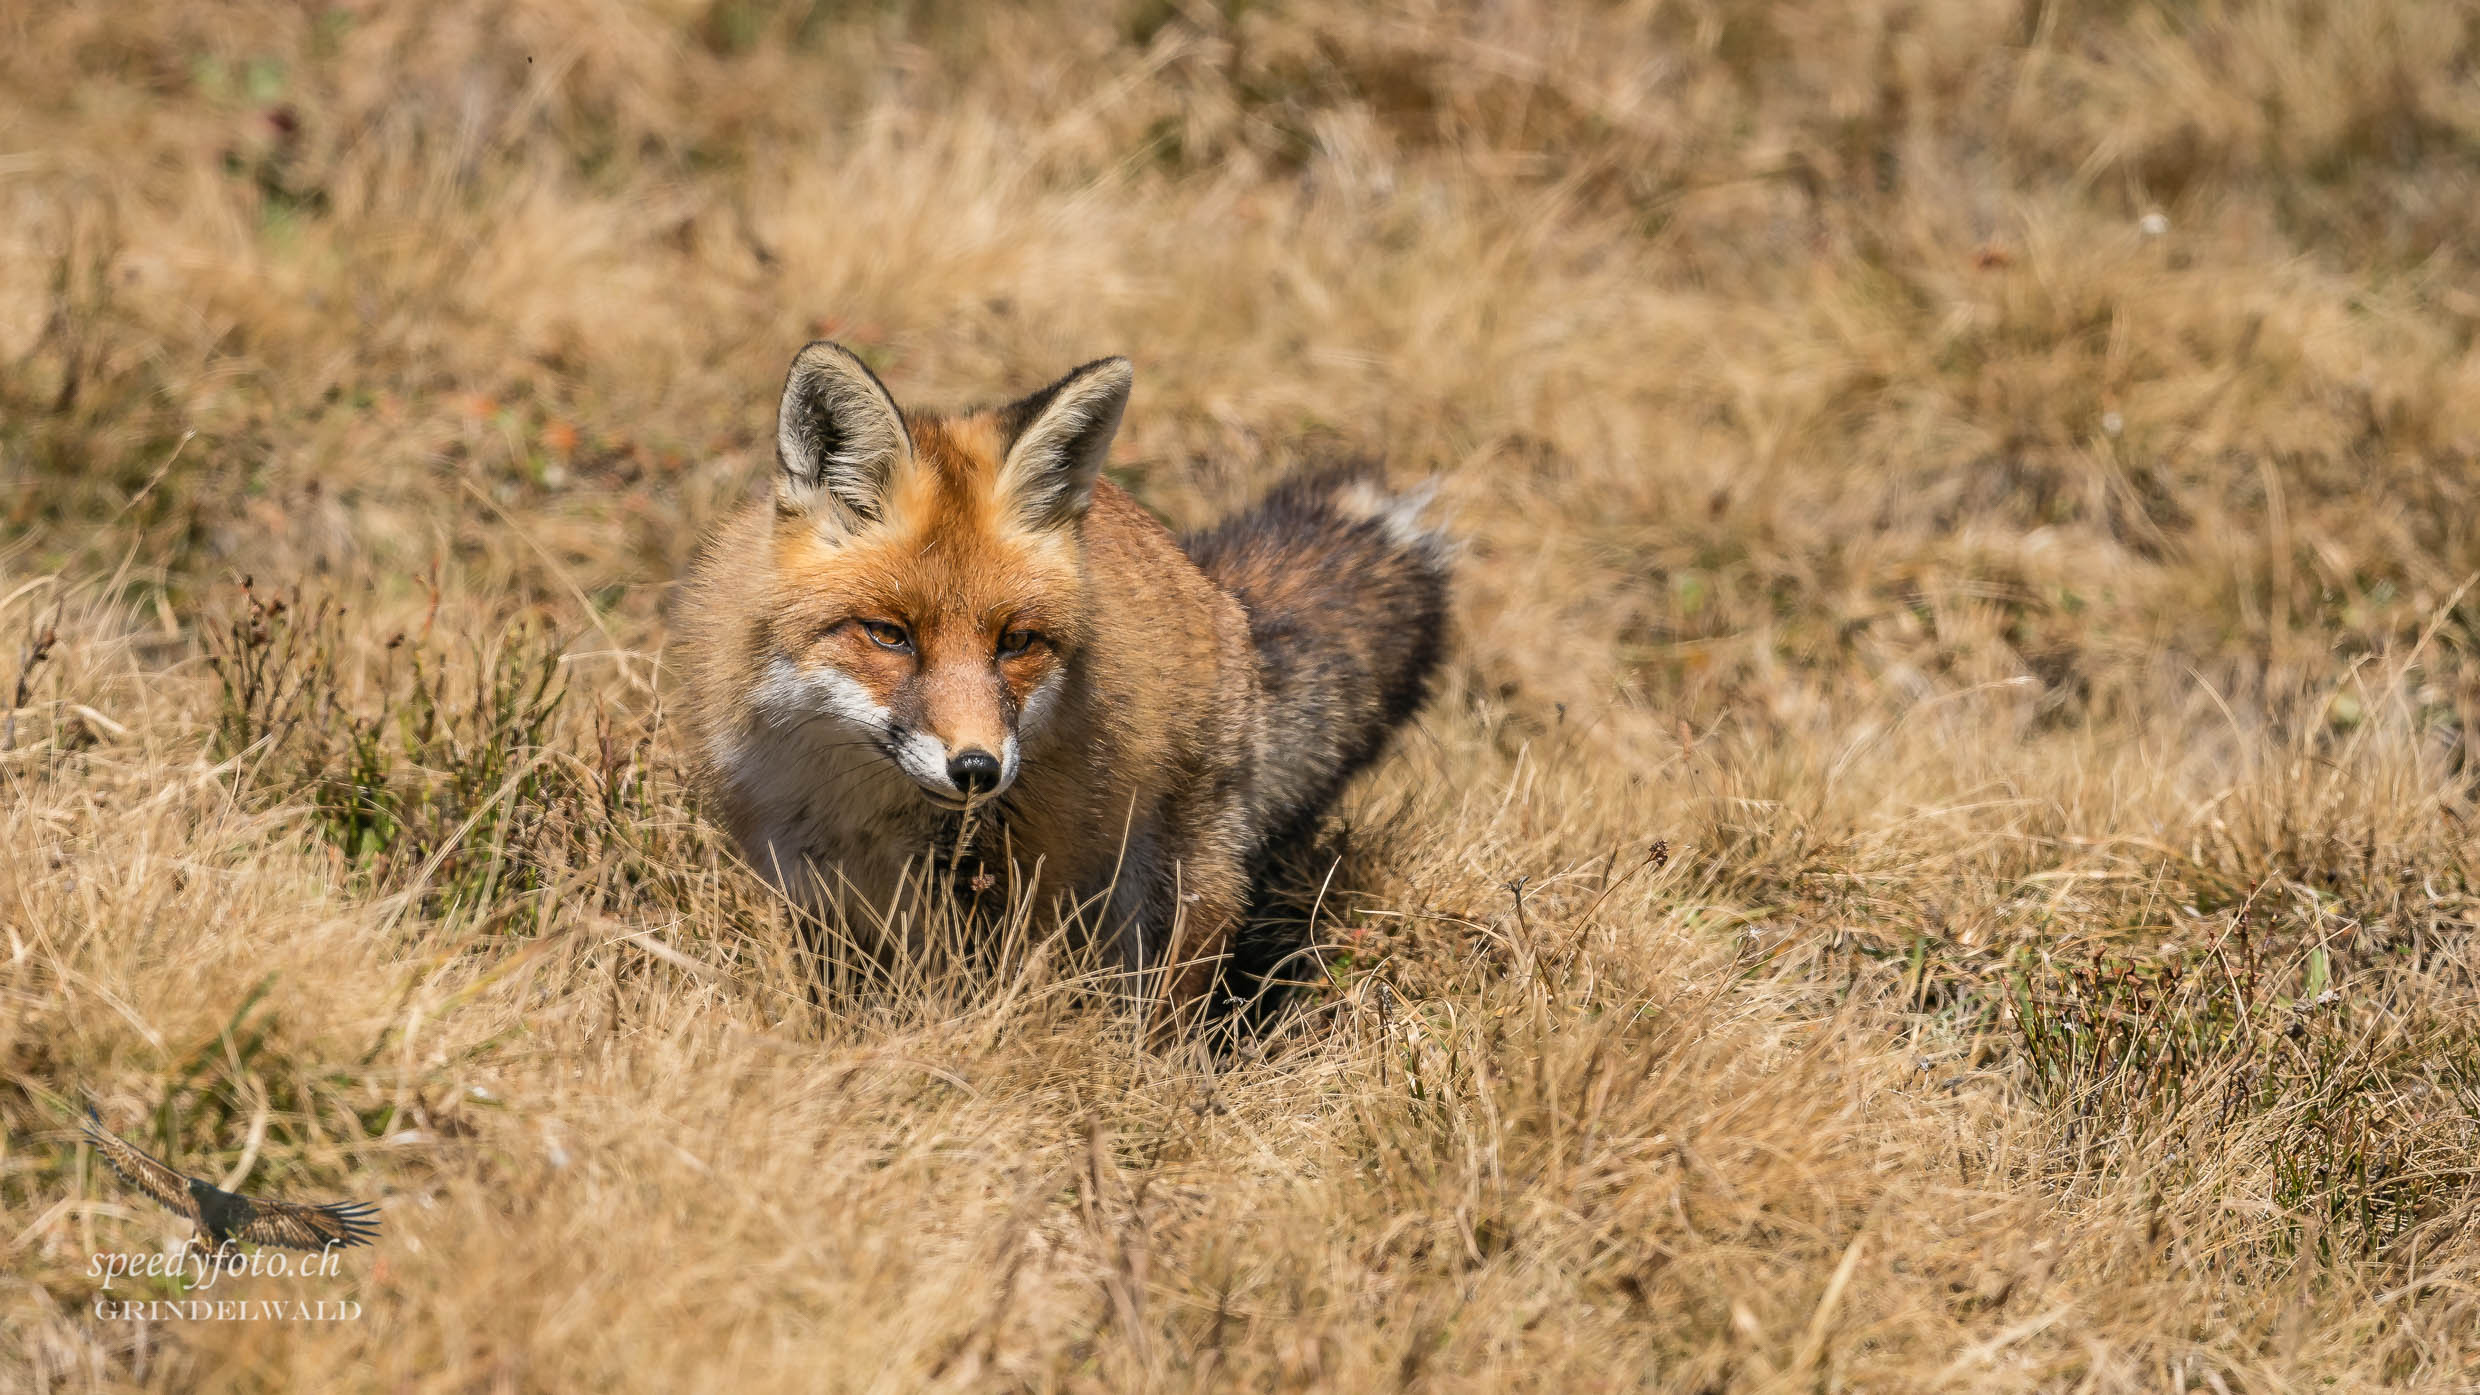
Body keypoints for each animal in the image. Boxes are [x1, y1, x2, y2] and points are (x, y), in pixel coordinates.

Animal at [679, 345, 1448, 1022]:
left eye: (1016, 641)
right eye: (889, 634)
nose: (977, 769)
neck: (869, 812)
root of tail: (1215, 591)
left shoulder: (1010, 887)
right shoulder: (810, 889)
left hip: (1167, 884)